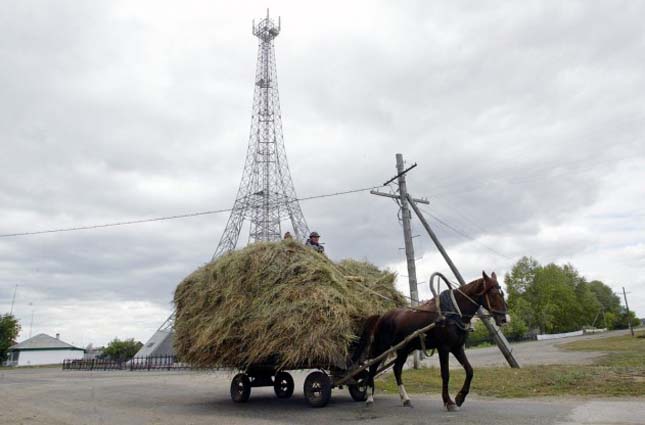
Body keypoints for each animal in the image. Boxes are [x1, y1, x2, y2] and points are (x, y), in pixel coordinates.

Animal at [352, 272, 508, 408]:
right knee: (372, 368)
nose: (503, 319)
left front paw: (460, 397)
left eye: (502, 293)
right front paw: (448, 401)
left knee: (397, 369)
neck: (451, 313)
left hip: (404, 349)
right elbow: (445, 374)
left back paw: (405, 399)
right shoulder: (444, 348)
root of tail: (381, 316)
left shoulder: (457, 347)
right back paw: (369, 398)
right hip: (381, 347)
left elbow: (469, 371)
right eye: (493, 293)